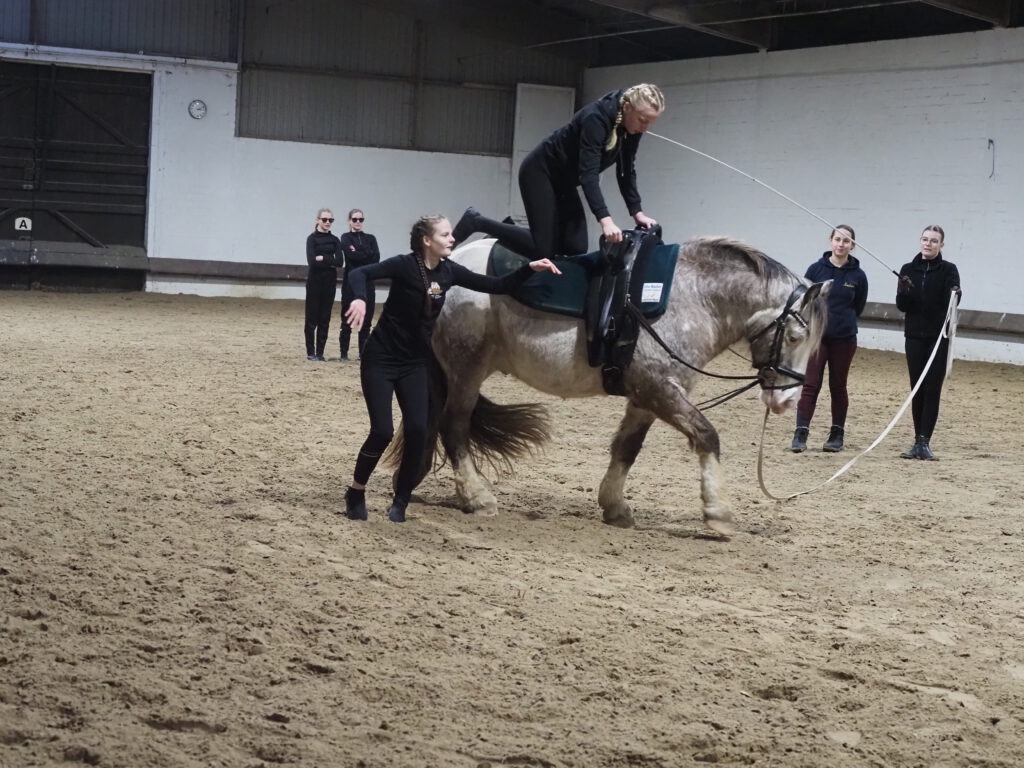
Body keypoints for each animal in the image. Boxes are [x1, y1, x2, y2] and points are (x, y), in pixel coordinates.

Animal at [402, 236, 829, 533]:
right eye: (795, 337)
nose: (786, 400)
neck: (692, 298)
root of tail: (447, 268)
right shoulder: (660, 390)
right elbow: (708, 435)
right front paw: (718, 512)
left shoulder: (645, 397)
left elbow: (627, 447)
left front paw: (615, 506)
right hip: (467, 369)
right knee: (454, 427)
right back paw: (477, 497)